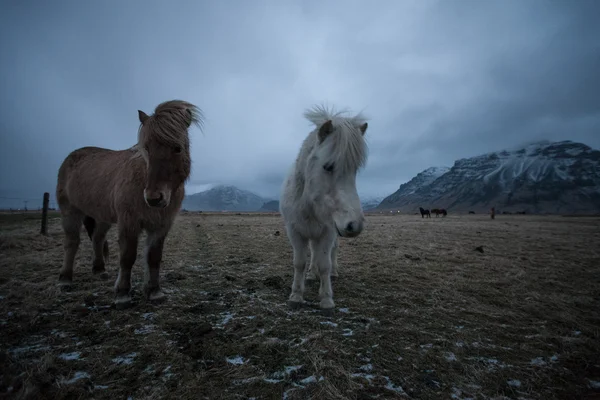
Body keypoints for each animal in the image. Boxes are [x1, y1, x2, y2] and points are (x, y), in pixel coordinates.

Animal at [55, 100, 204, 310]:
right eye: (146, 148)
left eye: (177, 148)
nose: (154, 198)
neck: (142, 180)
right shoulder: (129, 223)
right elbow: (127, 257)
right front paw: (122, 294)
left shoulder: (161, 225)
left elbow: (154, 257)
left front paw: (154, 291)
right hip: (70, 211)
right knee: (72, 242)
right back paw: (65, 279)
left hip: (102, 216)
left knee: (97, 238)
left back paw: (99, 270)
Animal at [278, 104, 368, 314]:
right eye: (328, 166)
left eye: (354, 171)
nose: (355, 225)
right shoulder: (295, 231)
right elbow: (300, 263)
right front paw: (296, 295)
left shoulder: (328, 232)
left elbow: (325, 264)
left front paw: (326, 299)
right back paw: (312, 275)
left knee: (330, 253)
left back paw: (332, 273)